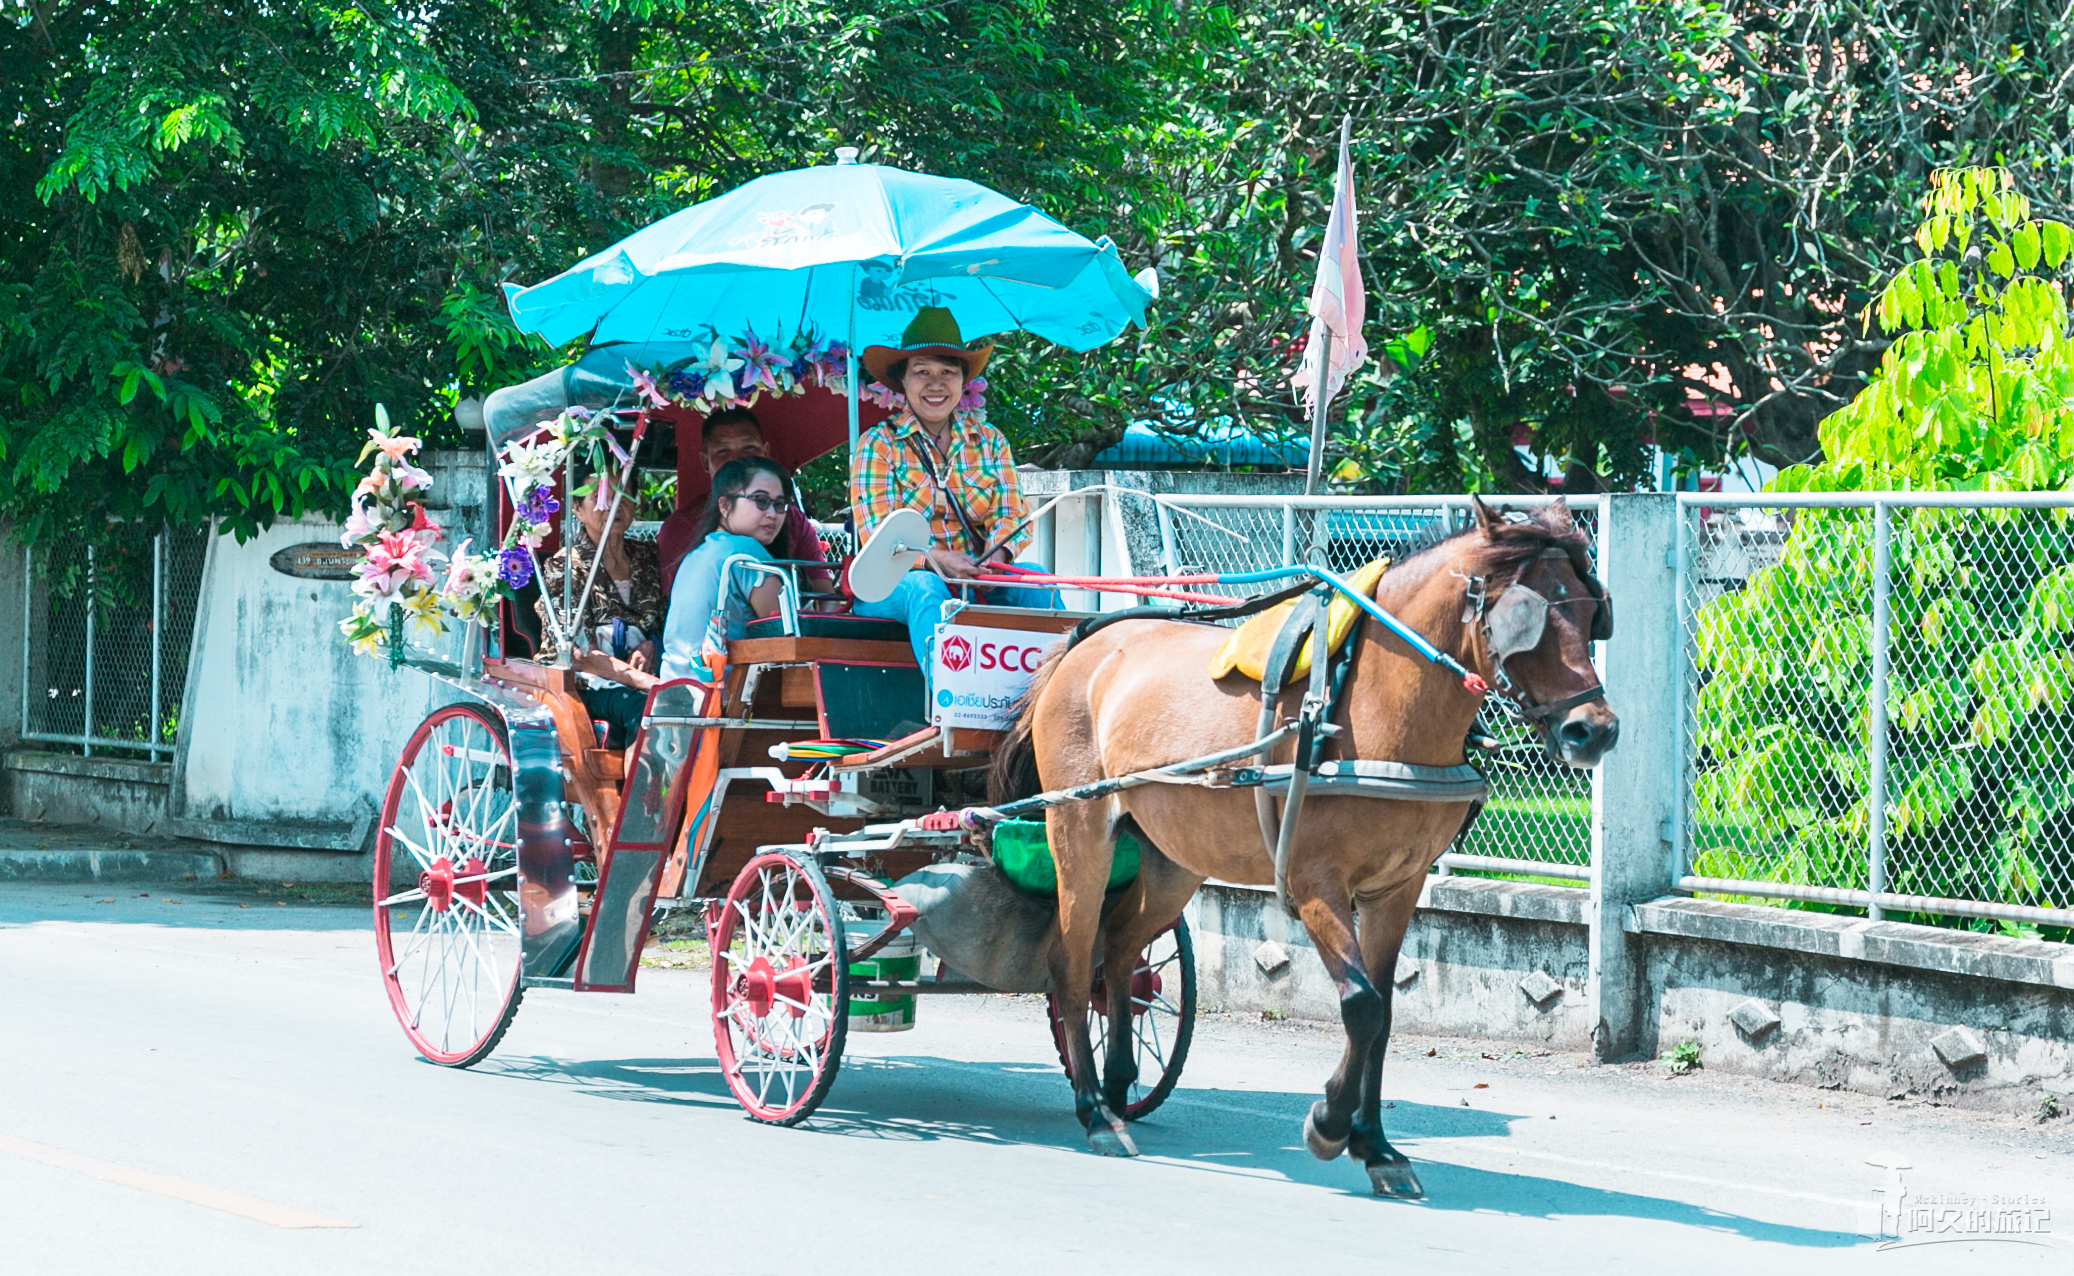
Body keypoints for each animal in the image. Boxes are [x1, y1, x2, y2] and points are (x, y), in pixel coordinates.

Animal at [987, 500, 1617, 1195]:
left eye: (1591, 612)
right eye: (1527, 616)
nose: (1594, 731)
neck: (1379, 702)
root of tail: (1085, 644)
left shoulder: (1399, 887)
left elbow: (1385, 1013)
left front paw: (1376, 1146)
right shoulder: (1316, 885)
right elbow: (1362, 1005)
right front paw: (1331, 1124)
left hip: (1173, 856)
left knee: (1121, 951)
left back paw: (1120, 1085)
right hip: (1078, 828)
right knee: (1072, 961)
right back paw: (1096, 1112)